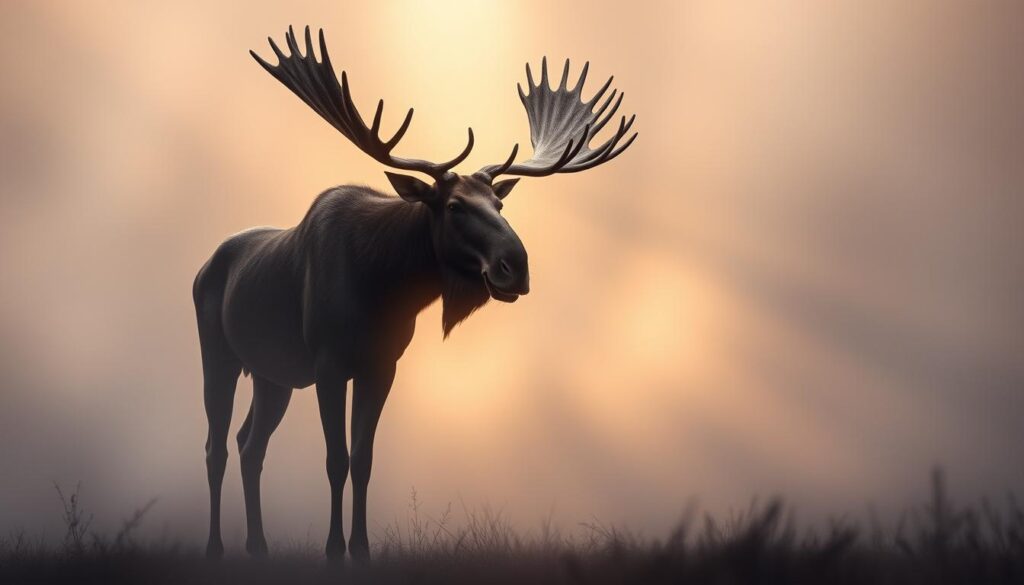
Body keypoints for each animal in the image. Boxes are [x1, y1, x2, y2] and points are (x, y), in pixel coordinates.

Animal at [193, 26, 637, 561]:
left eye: (499, 203)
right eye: (453, 206)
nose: (517, 267)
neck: (382, 284)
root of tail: (206, 264)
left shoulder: (383, 365)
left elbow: (364, 461)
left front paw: (361, 551)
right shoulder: (328, 363)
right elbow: (336, 460)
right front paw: (334, 551)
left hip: (271, 374)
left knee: (249, 445)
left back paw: (257, 547)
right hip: (219, 353)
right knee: (216, 446)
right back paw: (215, 548)